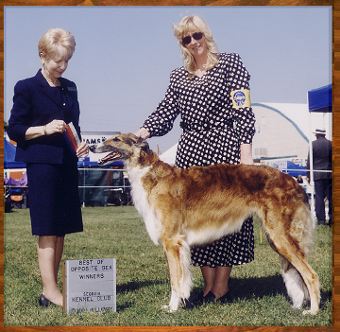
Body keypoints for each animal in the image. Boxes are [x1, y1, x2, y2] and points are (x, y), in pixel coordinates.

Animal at [89, 132, 320, 314]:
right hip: (277, 237)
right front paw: (177, 304)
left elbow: (176, 280)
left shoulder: (172, 241)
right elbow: (180, 279)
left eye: (116, 139)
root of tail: (293, 181)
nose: (91, 146)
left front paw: (173, 308)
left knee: (311, 274)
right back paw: (299, 305)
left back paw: (313, 311)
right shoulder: (176, 244)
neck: (150, 175)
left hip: (280, 236)